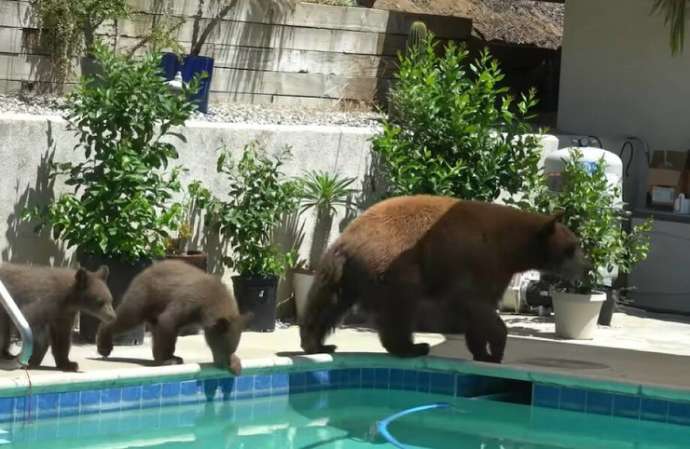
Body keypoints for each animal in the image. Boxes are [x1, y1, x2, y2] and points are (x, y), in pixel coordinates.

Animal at [296, 194, 584, 362]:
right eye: (571, 248)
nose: (587, 266)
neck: (511, 246)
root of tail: (347, 242)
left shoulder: (495, 270)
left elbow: (478, 310)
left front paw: (482, 351)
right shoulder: (481, 261)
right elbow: (477, 304)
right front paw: (496, 348)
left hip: (339, 273)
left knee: (325, 304)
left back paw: (316, 345)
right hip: (394, 267)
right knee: (399, 308)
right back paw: (412, 347)